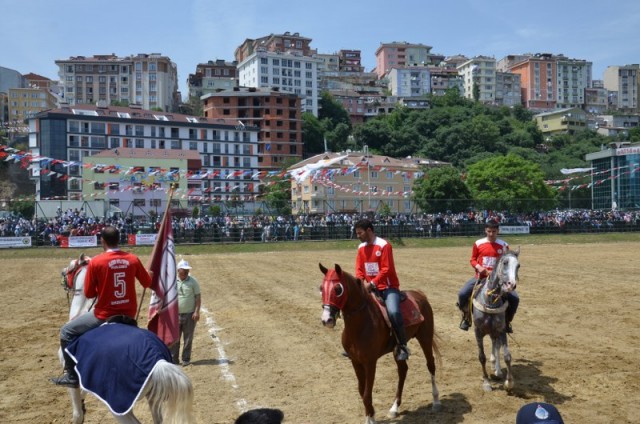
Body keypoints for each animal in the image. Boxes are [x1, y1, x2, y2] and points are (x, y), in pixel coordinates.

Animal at [59, 255, 195, 424]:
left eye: (72, 267)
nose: (63, 273)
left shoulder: (74, 380)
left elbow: (77, 413)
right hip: (153, 399)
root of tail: (158, 362)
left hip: (119, 407)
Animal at [320, 264, 440, 422]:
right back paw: (394, 407)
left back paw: (436, 401)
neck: (361, 324)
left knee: (431, 364)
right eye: (321, 288)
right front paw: (370, 415)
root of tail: (420, 295)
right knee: (403, 371)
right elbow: (362, 391)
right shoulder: (355, 361)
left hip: (425, 337)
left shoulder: (370, 362)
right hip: (398, 349)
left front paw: (370, 419)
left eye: (338, 289)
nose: (326, 319)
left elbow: (366, 393)